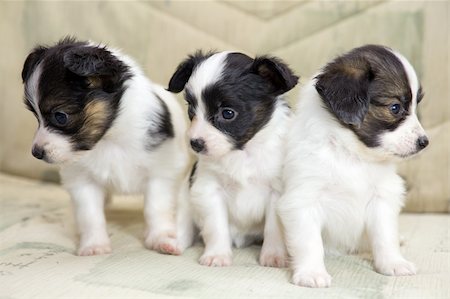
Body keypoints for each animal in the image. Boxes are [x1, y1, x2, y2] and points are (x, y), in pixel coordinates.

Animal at [21, 38, 190, 256]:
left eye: (60, 116)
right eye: (35, 116)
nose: (36, 152)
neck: (110, 139)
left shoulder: (160, 173)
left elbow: (156, 208)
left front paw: (160, 239)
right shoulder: (82, 180)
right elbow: (90, 215)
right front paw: (94, 245)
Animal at [280, 45, 430, 288]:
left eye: (416, 106)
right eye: (395, 107)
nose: (424, 142)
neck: (352, 154)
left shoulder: (382, 198)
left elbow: (385, 236)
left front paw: (393, 262)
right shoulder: (302, 200)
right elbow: (309, 242)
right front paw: (311, 272)